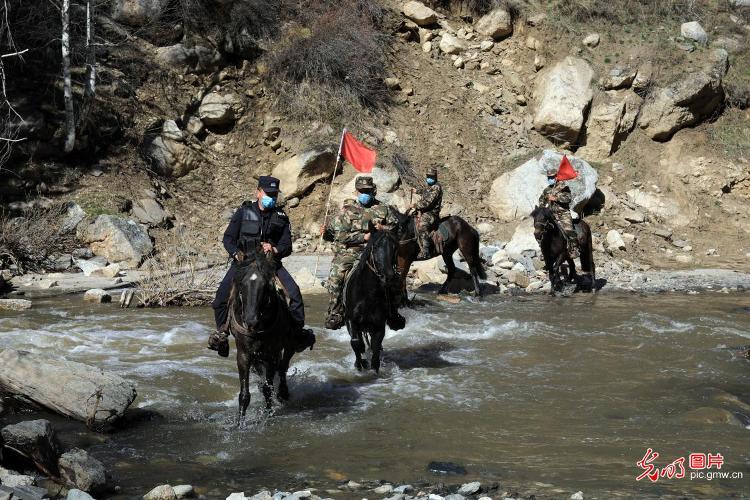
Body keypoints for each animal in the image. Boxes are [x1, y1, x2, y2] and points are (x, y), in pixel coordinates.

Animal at [226, 248, 302, 420]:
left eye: (266, 286)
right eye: (242, 284)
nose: (250, 321)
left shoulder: (271, 354)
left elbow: (268, 389)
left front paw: (268, 416)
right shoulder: (244, 354)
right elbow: (244, 395)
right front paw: (239, 423)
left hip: (289, 344)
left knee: (283, 367)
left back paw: (283, 393)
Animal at [346, 229, 402, 372]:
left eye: (395, 247)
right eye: (375, 247)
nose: (388, 276)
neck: (367, 295)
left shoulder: (379, 326)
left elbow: (375, 352)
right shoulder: (352, 321)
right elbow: (356, 344)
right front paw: (360, 364)